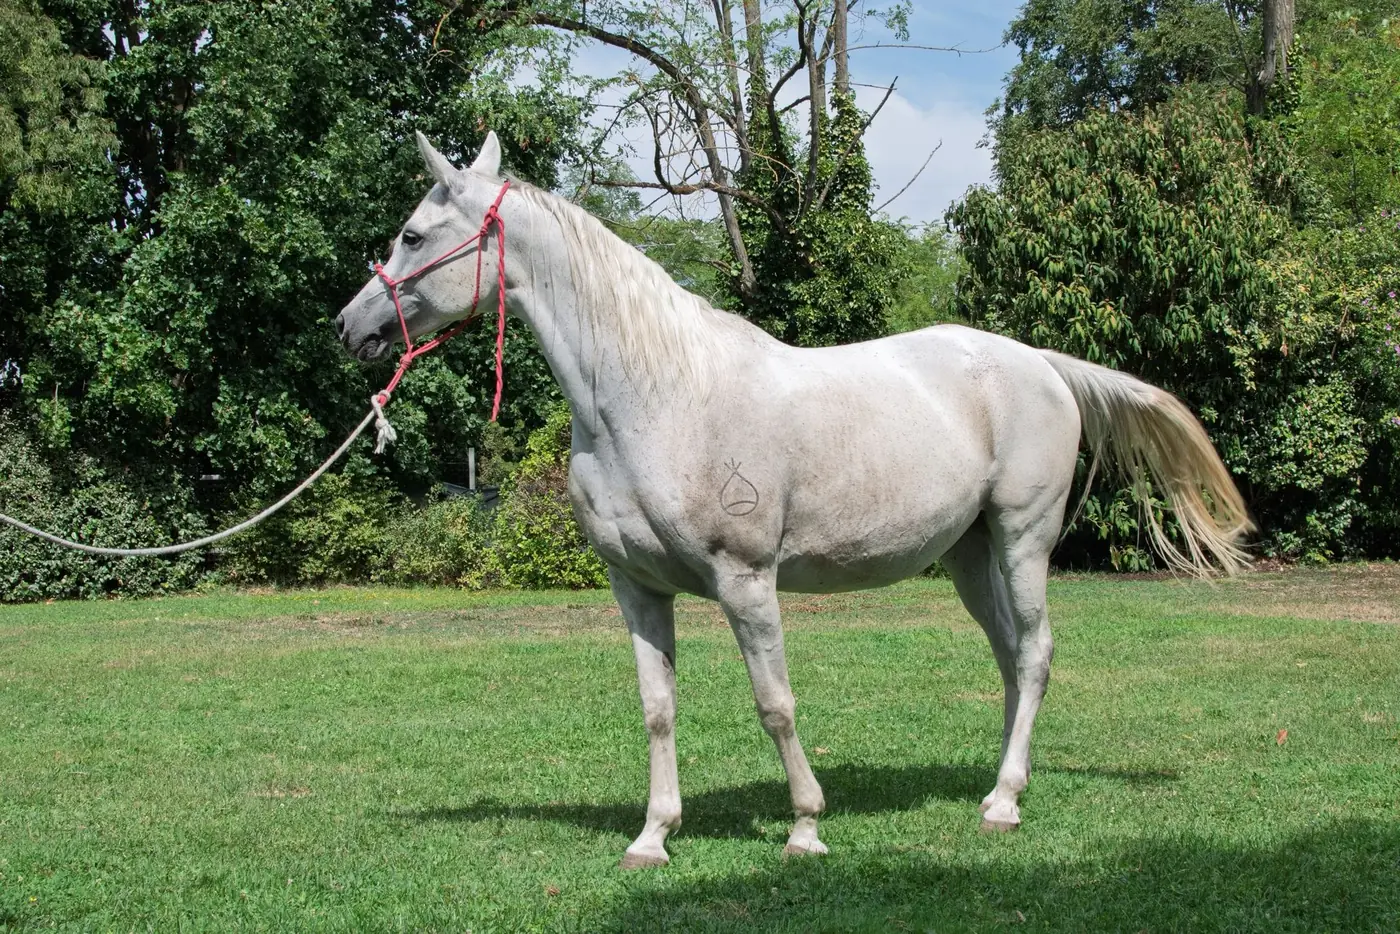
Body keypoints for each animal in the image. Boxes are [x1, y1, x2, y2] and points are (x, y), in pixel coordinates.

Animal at [335, 131, 1252, 869]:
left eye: (412, 233)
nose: (351, 327)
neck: (656, 397)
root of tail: (1040, 363)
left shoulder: (747, 581)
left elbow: (774, 705)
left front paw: (805, 828)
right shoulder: (638, 589)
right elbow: (657, 709)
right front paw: (652, 837)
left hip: (1023, 539)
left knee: (1034, 654)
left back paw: (1003, 803)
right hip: (968, 554)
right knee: (1008, 657)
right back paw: (997, 784)